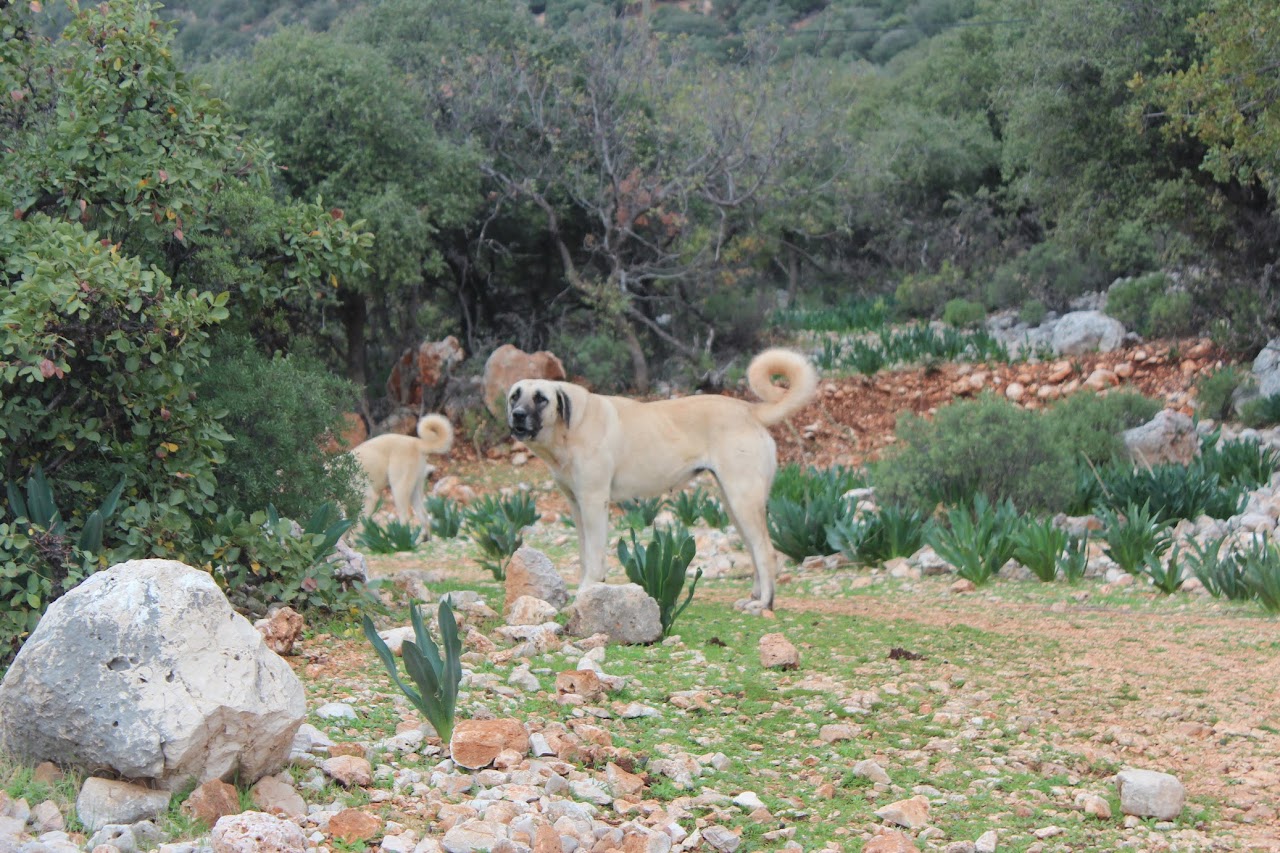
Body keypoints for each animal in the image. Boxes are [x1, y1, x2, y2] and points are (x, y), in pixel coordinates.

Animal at [504, 348, 814, 612]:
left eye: (540, 398)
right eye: (514, 396)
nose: (517, 416)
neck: (570, 428)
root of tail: (750, 410)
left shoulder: (593, 501)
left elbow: (594, 554)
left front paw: (588, 589)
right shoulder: (576, 505)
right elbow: (583, 553)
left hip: (743, 499)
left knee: (766, 551)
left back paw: (764, 603)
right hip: (733, 503)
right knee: (754, 549)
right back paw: (754, 597)